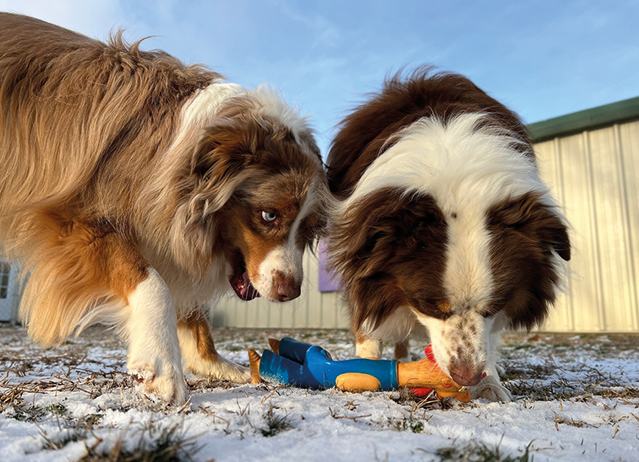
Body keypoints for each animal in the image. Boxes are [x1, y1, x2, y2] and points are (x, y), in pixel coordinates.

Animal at [0, 13, 330, 404]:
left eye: (307, 228)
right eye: (269, 215)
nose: (289, 292)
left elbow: (191, 308)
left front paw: (215, 363)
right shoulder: (74, 218)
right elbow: (153, 282)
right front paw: (162, 369)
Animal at [328, 67, 572, 400]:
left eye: (493, 306)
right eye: (430, 306)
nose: (466, 376)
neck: (456, 173)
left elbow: (489, 338)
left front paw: (490, 385)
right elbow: (367, 315)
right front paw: (365, 370)